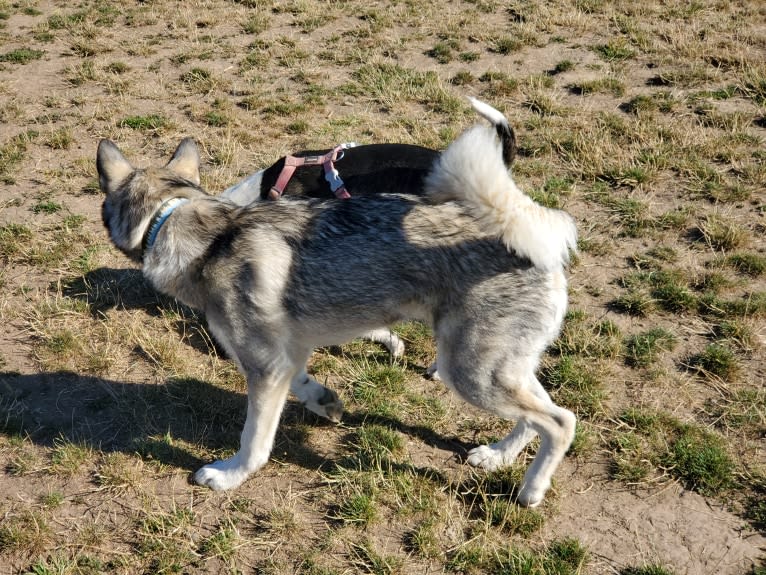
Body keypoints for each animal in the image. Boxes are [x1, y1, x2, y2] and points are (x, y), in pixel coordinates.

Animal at [97, 100, 576, 508]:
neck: (193, 226)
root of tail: (529, 243)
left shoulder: (264, 367)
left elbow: (254, 441)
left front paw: (229, 476)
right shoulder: (283, 357)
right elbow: (304, 383)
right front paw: (325, 401)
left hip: (470, 372)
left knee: (560, 421)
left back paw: (531, 490)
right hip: (498, 368)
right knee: (538, 416)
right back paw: (498, 456)